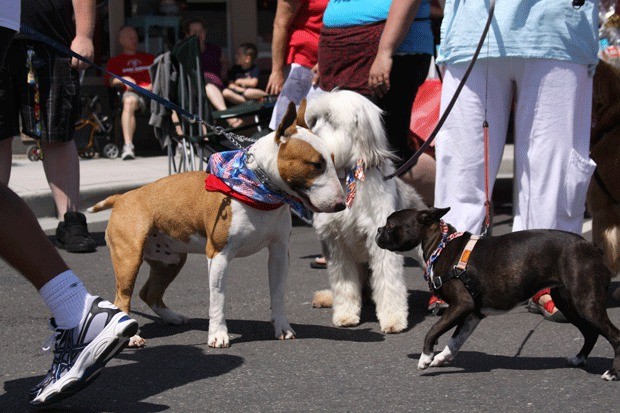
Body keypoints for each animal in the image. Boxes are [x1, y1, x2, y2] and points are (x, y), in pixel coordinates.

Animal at [89, 101, 346, 346]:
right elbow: (218, 298)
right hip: (129, 258)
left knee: (149, 293)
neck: (261, 192)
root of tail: (122, 197)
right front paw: (218, 335)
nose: (342, 204)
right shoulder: (218, 254)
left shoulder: (279, 252)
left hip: (170, 260)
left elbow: (278, 292)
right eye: (315, 164)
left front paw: (282, 327)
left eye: (332, 161)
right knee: (122, 297)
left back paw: (173, 317)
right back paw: (131, 336)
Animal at [306, 89, 426, 332]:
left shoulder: (381, 242)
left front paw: (393, 319)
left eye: (330, 119)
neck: (347, 177)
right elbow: (343, 285)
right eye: (314, 120)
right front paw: (345, 315)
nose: (309, 134)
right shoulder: (335, 245)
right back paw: (326, 298)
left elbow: (389, 282)